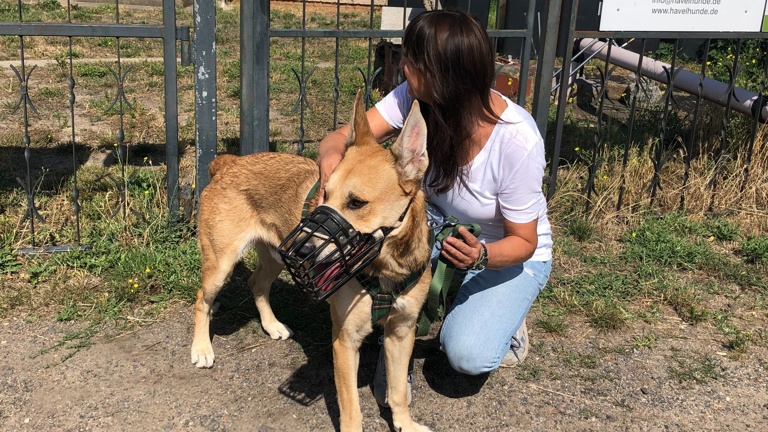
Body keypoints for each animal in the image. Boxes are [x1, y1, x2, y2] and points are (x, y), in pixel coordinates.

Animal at [190, 91, 436, 432]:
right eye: (325, 194)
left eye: (356, 202)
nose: (303, 251)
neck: (385, 269)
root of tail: (230, 162)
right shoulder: (345, 341)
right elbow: (351, 409)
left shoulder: (402, 332)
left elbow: (398, 391)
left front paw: (405, 424)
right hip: (221, 264)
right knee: (202, 299)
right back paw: (201, 348)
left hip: (276, 257)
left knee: (256, 284)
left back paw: (272, 325)